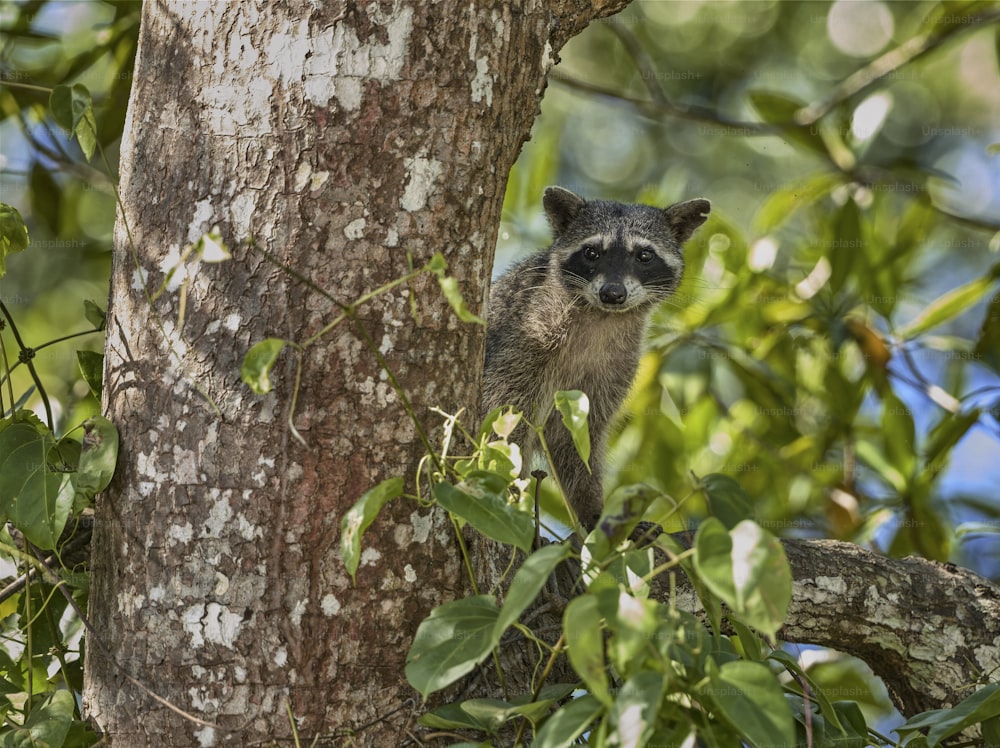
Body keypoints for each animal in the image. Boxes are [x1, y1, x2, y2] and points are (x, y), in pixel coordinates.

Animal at [480, 187, 708, 532]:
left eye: (644, 255)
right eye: (591, 253)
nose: (612, 293)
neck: (602, 317)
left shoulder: (615, 367)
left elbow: (577, 438)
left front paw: (592, 511)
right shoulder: (524, 335)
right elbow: (504, 415)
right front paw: (507, 490)